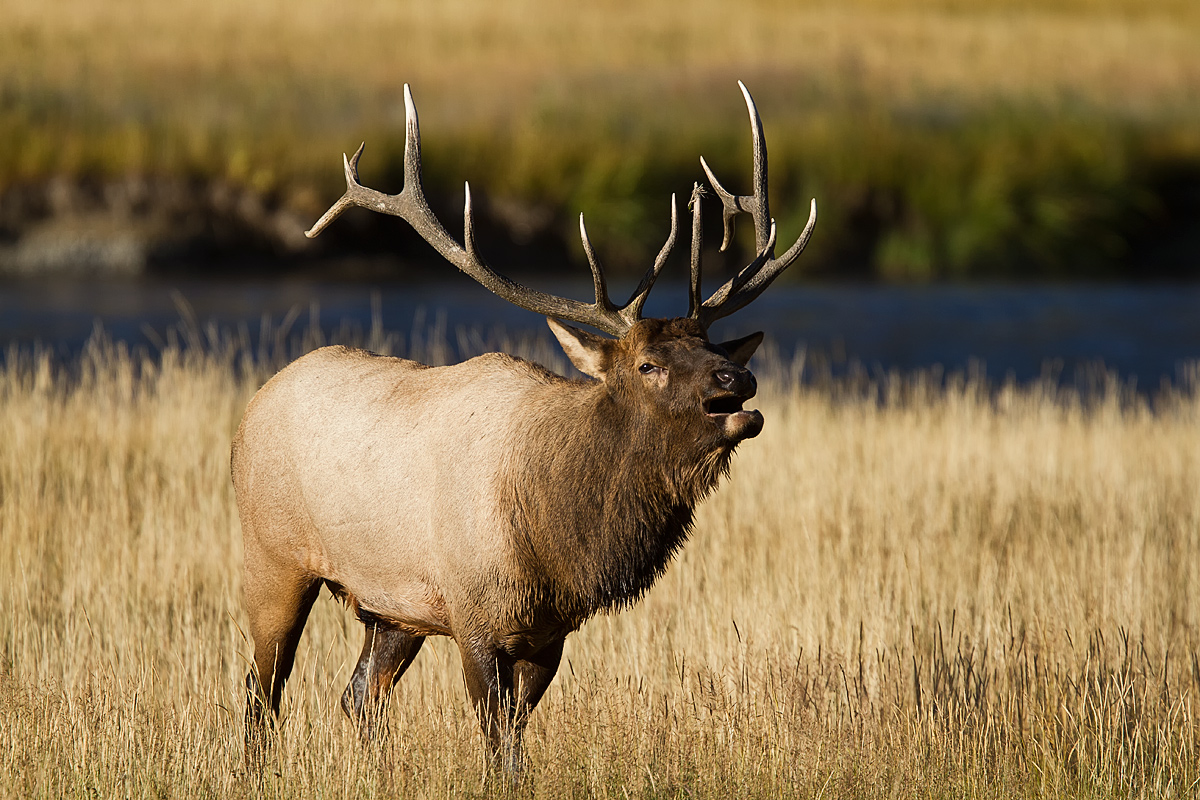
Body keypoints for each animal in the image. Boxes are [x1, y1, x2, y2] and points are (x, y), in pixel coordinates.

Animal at [232, 81, 816, 773]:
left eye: (711, 347)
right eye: (646, 364)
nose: (737, 378)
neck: (557, 536)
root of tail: (250, 410)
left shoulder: (548, 635)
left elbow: (514, 740)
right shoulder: (473, 617)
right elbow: (496, 743)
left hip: (392, 608)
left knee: (357, 696)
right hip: (274, 556)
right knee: (261, 691)